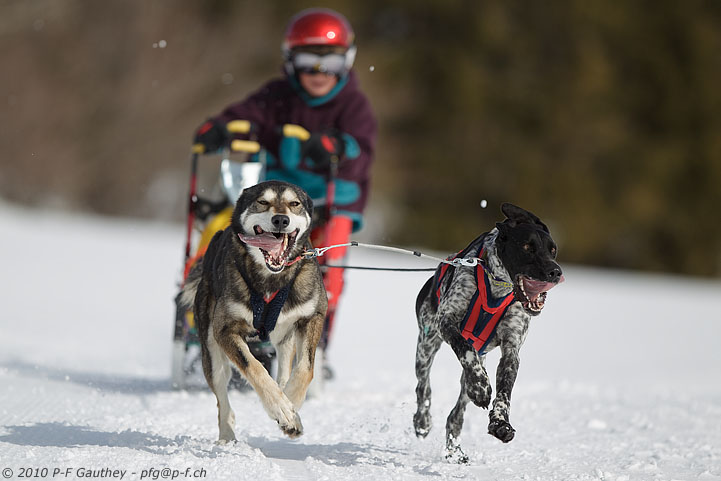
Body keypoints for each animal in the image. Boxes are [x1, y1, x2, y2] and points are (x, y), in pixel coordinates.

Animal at [179, 179, 328, 438]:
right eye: (263, 202)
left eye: (294, 203)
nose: (281, 220)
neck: (272, 278)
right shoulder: (225, 330)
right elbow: (254, 367)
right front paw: (281, 407)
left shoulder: (312, 316)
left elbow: (305, 368)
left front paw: (291, 406)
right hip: (211, 348)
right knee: (223, 399)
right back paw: (227, 436)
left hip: (285, 337)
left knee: (284, 369)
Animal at [410, 202, 564, 462]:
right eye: (527, 247)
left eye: (552, 250)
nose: (555, 271)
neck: (498, 285)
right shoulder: (446, 320)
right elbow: (464, 348)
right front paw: (481, 387)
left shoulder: (511, 348)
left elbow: (504, 392)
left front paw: (501, 423)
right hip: (426, 347)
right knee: (424, 386)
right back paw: (423, 420)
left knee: (456, 414)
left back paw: (454, 447)